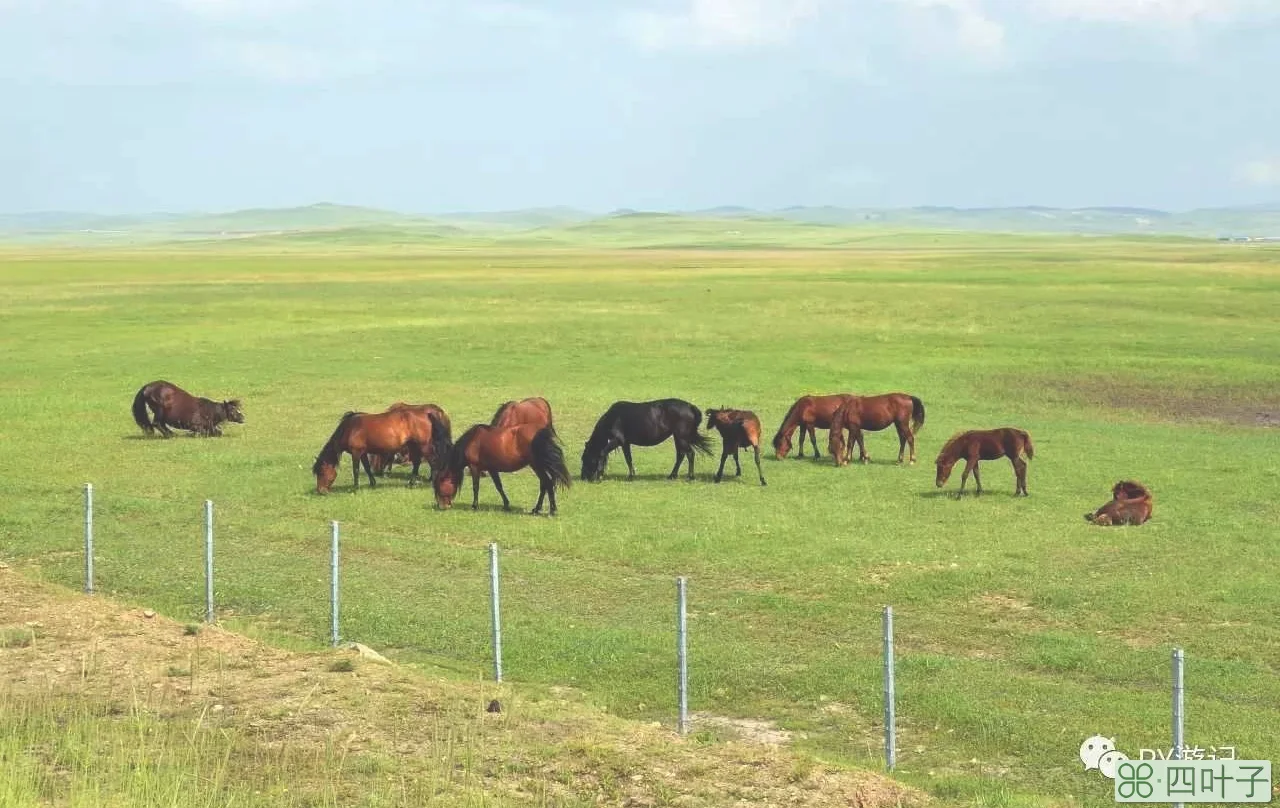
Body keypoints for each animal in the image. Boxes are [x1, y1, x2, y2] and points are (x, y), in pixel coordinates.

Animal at [312, 404, 442, 494]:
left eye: (321, 472)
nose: (320, 491)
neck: (350, 428)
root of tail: (427, 415)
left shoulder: (356, 453)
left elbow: (356, 470)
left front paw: (355, 488)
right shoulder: (363, 453)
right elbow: (367, 468)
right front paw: (372, 483)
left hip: (423, 446)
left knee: (433, 462)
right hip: (414, 446)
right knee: (417, 463)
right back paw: (411, 483)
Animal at [430, 414, 570, 514]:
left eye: (439, 485)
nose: (442, 506)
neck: (472, 440)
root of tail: (539, 432)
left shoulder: (475, 467)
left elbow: (476, 487)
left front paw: (474, 506)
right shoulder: (492, 469)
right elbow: (499, 487)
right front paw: (506, 505)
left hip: (536, 465)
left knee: (547, 483)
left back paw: (551, 510)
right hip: (538, 465)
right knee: (544, 484)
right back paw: (537, 509)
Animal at [583, 399, 716, 481]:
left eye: (584, 458)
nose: (584, 477)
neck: (613, 417)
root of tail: (690, 406)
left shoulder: (618, 440)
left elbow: (602, 453)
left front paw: (598, 476)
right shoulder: (625, 443)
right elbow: (628, 459)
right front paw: (631, 476)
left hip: (682, 437)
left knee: (690, 453)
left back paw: (690, 477)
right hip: (678, 437)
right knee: (681, 455)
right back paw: (672, 476)